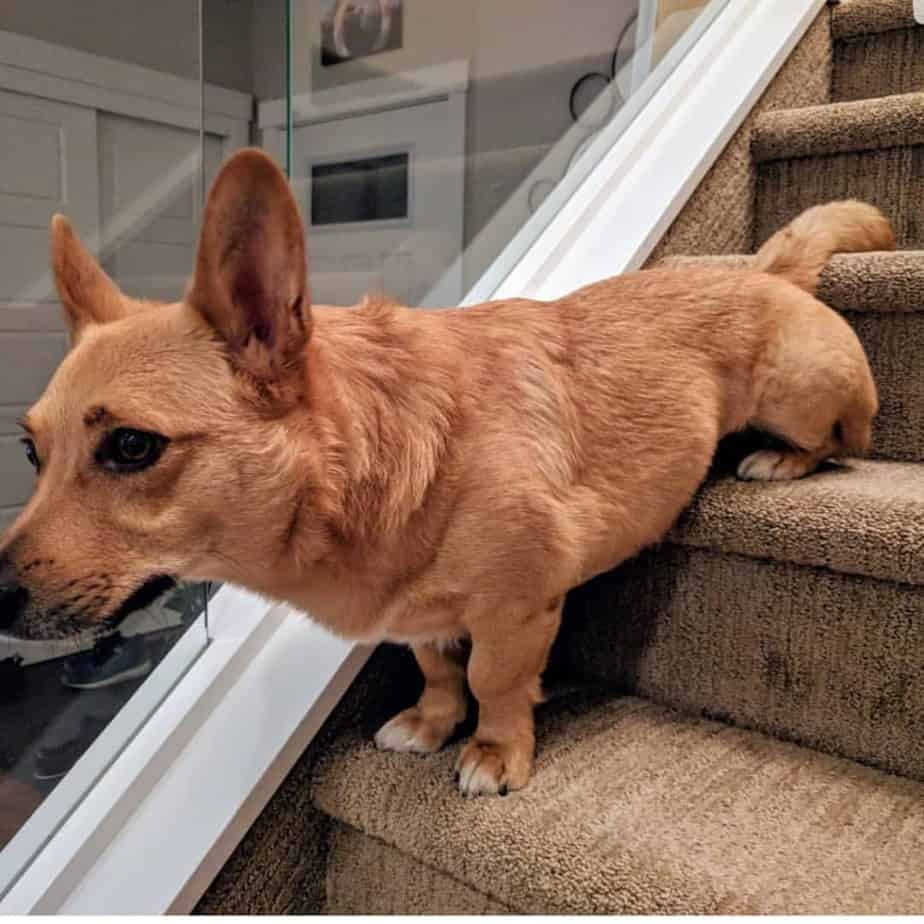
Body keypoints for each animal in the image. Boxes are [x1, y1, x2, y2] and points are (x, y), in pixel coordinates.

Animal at [0, 150, 896, 796]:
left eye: (131, 447)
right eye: (31, 452)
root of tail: (764, 271)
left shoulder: (519, 607)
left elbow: (495, 680)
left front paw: (494, 754)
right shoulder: (421, 616)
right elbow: (437, 669)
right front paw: (431, 725)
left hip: (801, 393)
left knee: (842, 437)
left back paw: (777, 458)